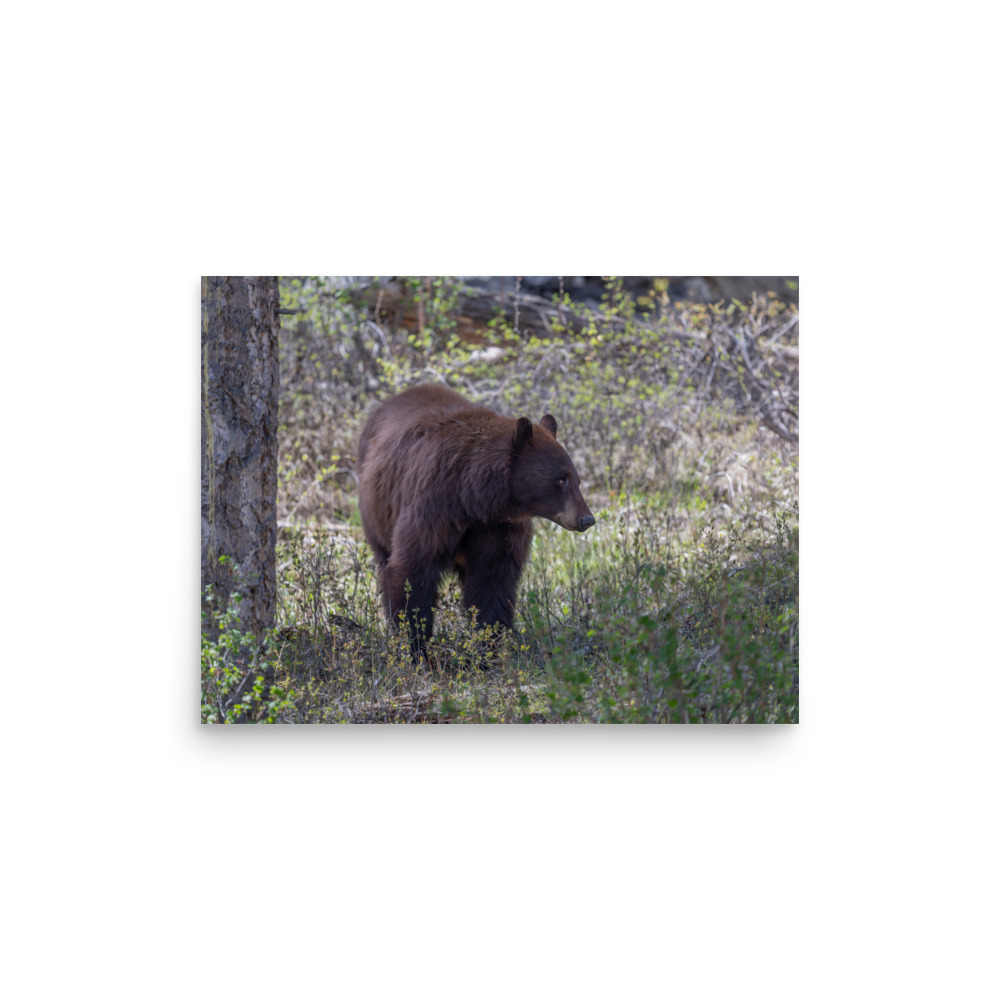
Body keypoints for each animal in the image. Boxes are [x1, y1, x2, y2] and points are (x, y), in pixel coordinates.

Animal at [356, 383, 595, 658]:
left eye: (576, 479)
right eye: (561, 480)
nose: (587, 519)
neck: (474, 499)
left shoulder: (499, 527)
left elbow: (492, 582)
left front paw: (487, 650)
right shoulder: (433, 506)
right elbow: (413, 569)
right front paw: (416, 648)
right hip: (376, 511)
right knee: (385, 560)